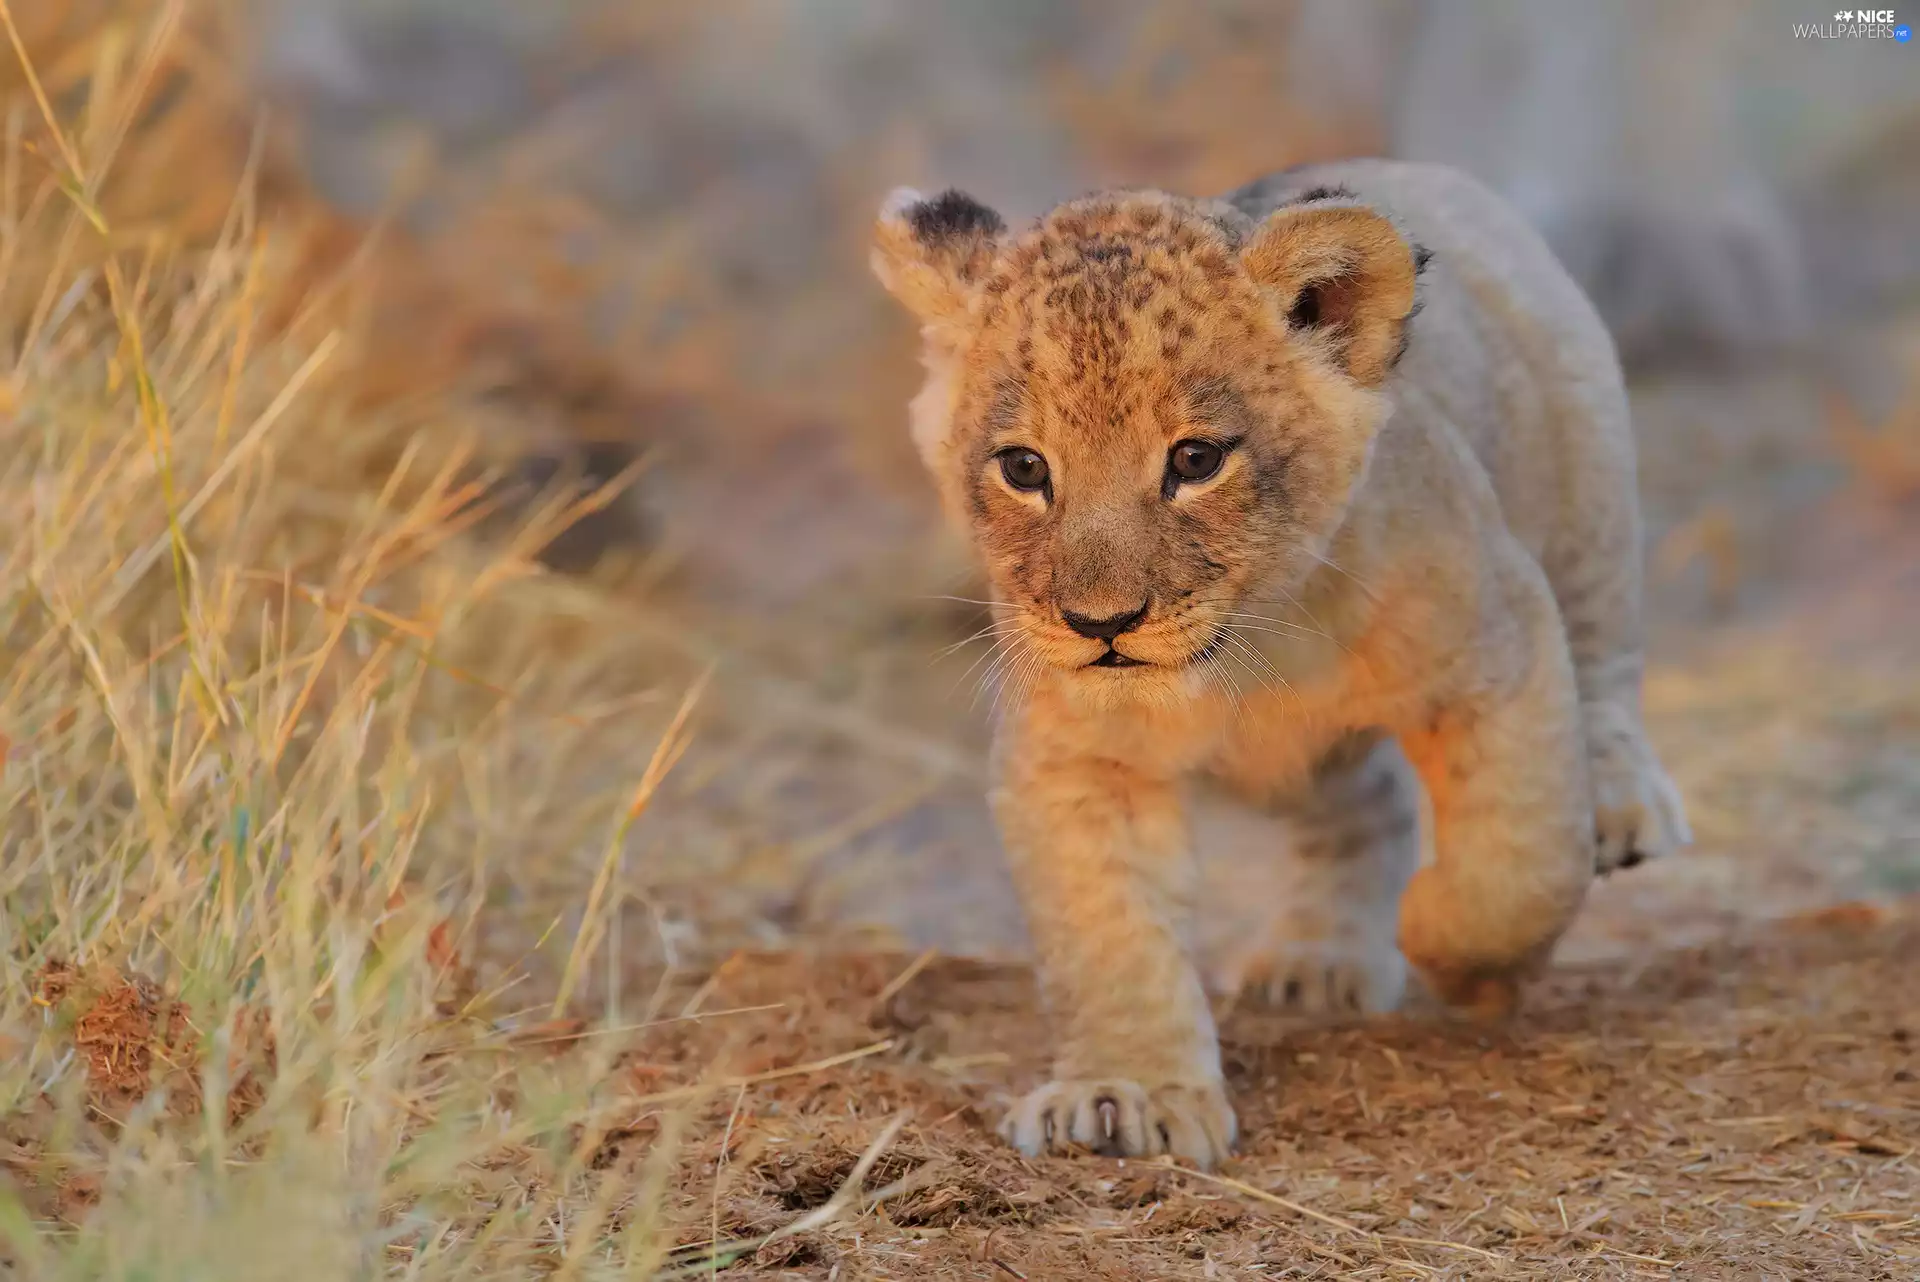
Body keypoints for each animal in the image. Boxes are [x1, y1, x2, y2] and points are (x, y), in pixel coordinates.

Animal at [870, 159, 1691, 1169]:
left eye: (1195, 459)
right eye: (1024, 468)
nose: (1101, 624)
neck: (1250, 655)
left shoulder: (1502, 641)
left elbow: (1523, 858)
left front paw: (1452, 949)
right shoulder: (1076, 758)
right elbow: (1107, 929)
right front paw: (1124, 1094)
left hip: (1585, 485)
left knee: (1602, 660)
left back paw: (1618, 804)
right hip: (1302, 763)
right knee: (1366, 803)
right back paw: (1320, 960)